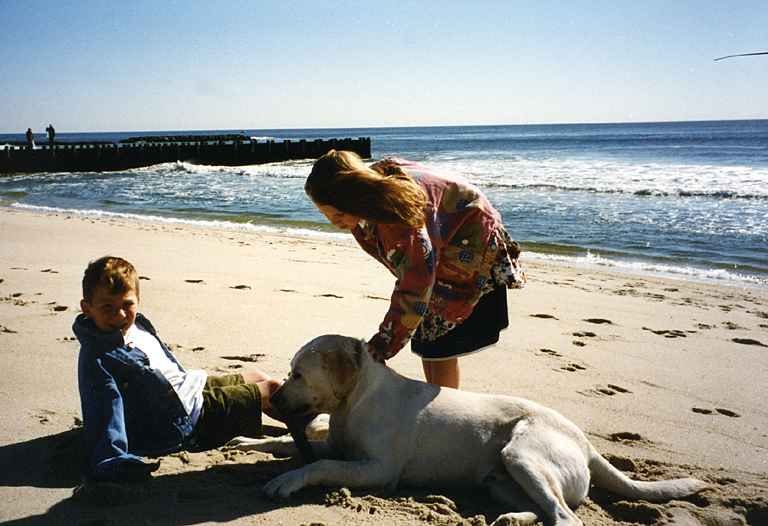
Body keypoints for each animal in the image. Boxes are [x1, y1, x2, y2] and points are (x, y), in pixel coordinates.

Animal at [230, 336, 708, 524]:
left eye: (297, 374)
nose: (272, 399)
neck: (355, 401)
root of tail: (585, 442)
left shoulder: (377, 469)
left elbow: (319, 464)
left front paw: (288, 480)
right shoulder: (334, 441)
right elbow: (288, 442)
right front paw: (248, 439)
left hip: (522, 454)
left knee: (565, 516)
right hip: (503, 476)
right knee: (545, 509)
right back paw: (512, 519)